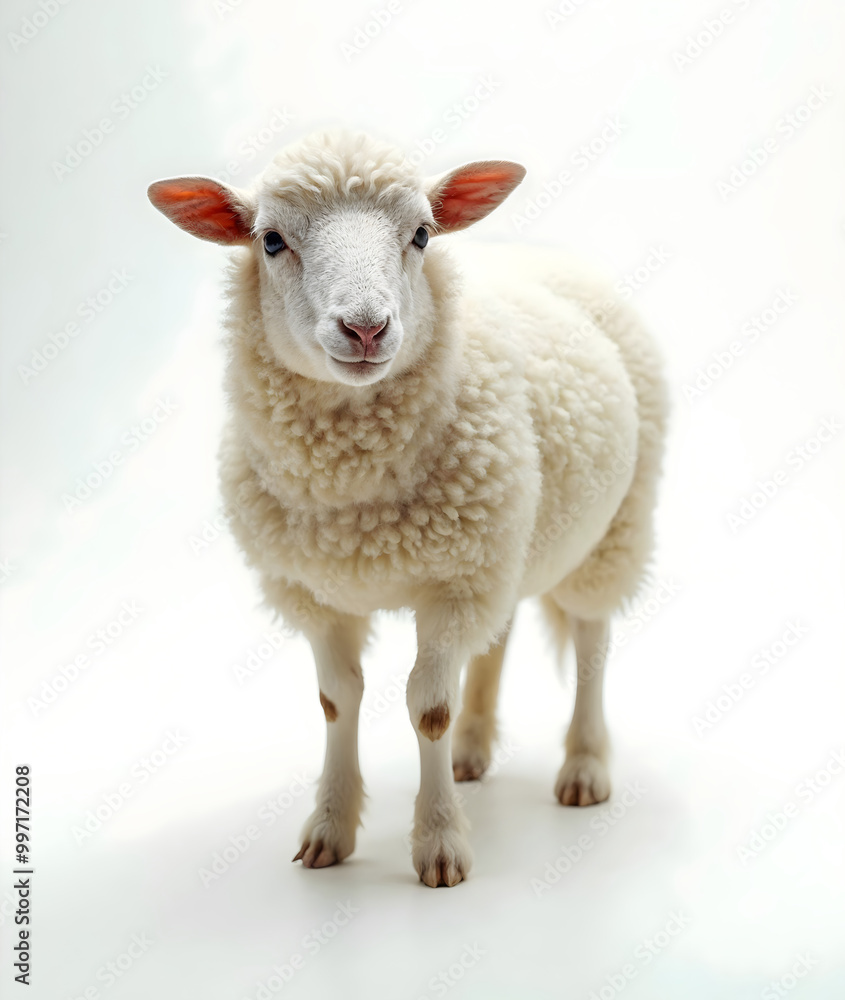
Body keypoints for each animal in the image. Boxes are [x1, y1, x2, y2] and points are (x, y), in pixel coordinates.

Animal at [147, 129, 668, 888]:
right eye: (270, 241)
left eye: (421, 234)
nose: (365, 329)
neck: (354, 496)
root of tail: (544, 254)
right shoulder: (318, 592)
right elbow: (337, 702)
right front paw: (330, 829)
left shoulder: (452, 585)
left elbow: (429, 710)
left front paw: (440, 845)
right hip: (507, 538)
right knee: (500, 636)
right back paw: (473, 752)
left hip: (613, 526)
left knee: (591, 642)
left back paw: (583, 765)